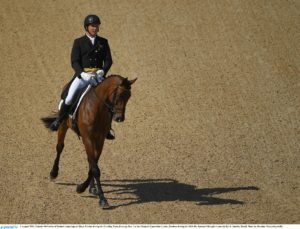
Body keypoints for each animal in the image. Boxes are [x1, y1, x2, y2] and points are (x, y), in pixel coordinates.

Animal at [41, 74, 137, 208]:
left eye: (129, 96)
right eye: (118, 95)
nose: (119, 118)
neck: (97, 108)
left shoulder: (100, 139)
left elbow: (93, 165)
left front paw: (85, 187)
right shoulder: (88, 138)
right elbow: (95, 169)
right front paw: (101, 198)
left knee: (89, 160)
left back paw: (92, 188)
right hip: (63, 125)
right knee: (59, 147)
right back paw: (53, 173)